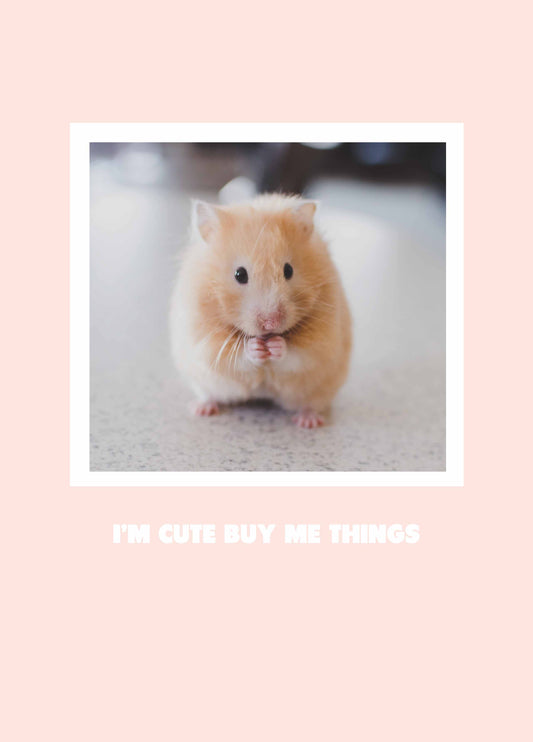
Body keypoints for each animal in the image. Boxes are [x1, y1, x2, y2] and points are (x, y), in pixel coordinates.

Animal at [169, 193, 352, 428]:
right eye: (239, 274)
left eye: (288, 270)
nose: (270, 324)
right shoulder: (204, 339)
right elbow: (233, 355)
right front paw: (256, 347)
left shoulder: (322, 341)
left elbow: (298, 354)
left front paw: (275, 346)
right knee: (208, 394)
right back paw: (201, 409)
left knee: (310, 404)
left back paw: (308, 422)